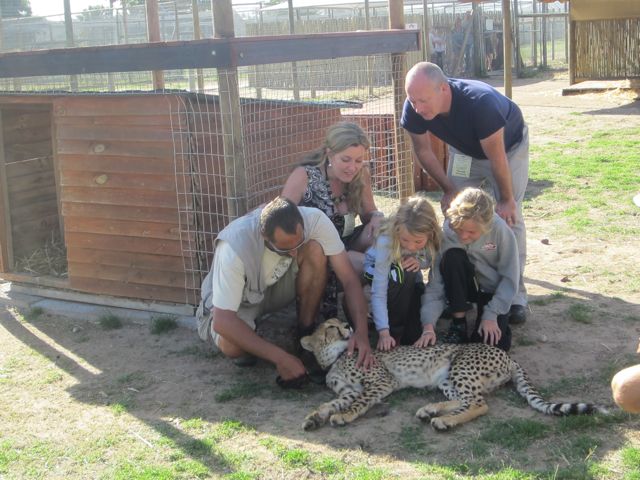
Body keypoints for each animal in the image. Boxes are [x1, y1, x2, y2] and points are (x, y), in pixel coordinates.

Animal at [302, 318, 608, 432]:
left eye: (338, 324)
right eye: (331, 327)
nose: (348, 326)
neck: (337, 358)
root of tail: (507, 355)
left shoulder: (381, 381)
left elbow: (360, 402)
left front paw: (343, 416)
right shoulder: (347, 390)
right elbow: (330, 402)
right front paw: (315, 416)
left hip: (461, 367)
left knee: (479, 404)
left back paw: (443, 421)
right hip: (448, 377)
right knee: (467, 400)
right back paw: (432, 410)